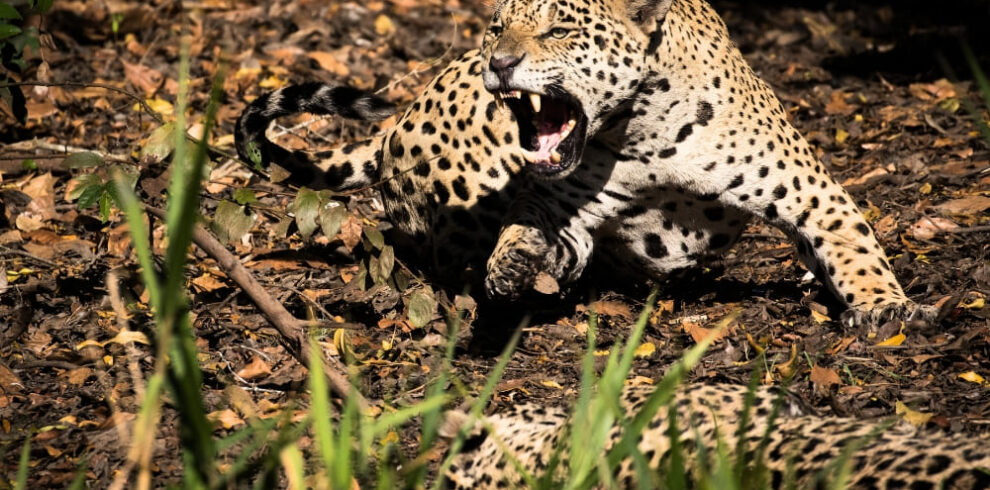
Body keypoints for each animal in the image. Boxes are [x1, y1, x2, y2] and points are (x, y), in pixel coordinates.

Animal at [235, 0, 938, 326]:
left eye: (558, 30)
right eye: (497, 26)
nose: (499, 62)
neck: (644, 133)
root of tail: (394, 123)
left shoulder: (808, 189)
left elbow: (853, 247)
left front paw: (882, 307)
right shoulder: (562, 209)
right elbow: (532, 225)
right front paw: (514, 258)